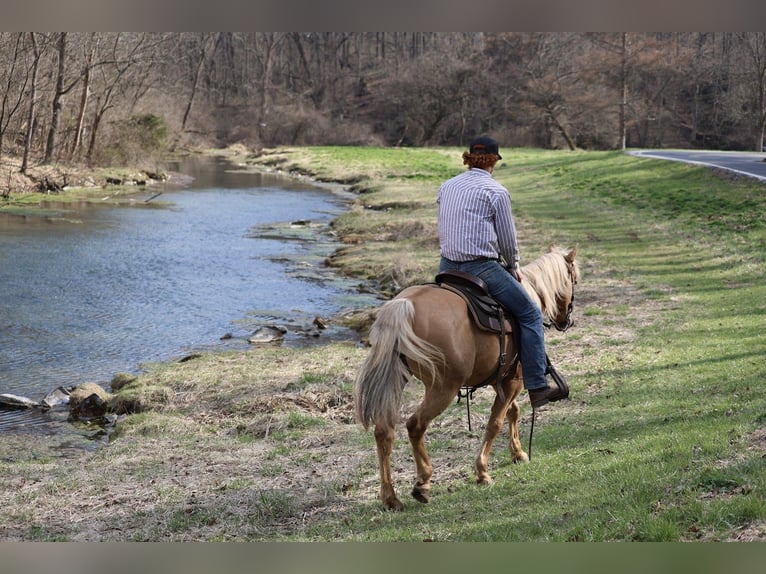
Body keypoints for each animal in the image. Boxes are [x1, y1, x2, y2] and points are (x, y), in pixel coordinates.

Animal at [354, 245, 579, 510]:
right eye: (574, 279)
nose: (566, 320)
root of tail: (404, 305)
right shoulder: (515, 380)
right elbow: (495, 422)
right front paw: (482, 472)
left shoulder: (501, 380)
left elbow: (512, 412)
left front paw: (518, 453)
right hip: (443, 388)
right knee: (415, 425)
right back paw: (423, 484)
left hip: (397, 379)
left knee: (384, 431)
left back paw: (391, 498)